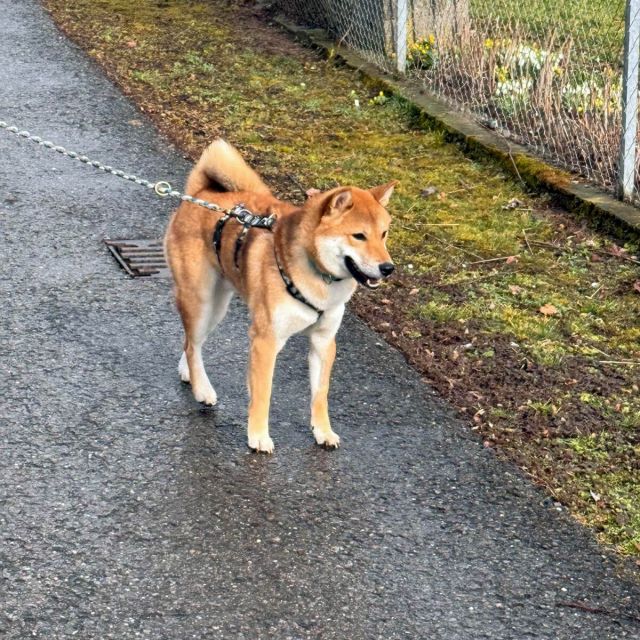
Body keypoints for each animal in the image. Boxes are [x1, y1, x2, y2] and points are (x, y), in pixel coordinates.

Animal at [164, 139, 396, 450]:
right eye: (359, 236)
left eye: (384, 234)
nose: (388, 268)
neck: (319, 278)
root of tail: (200, 194)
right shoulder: (266, 340)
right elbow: (263, 394)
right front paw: (259, 436)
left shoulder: (324, 342)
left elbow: (320, 395)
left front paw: (323, 431)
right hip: (201, 301)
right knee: (193, 343)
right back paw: (202, 388)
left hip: (217, 307)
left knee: (191, 342)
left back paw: (190, 374)